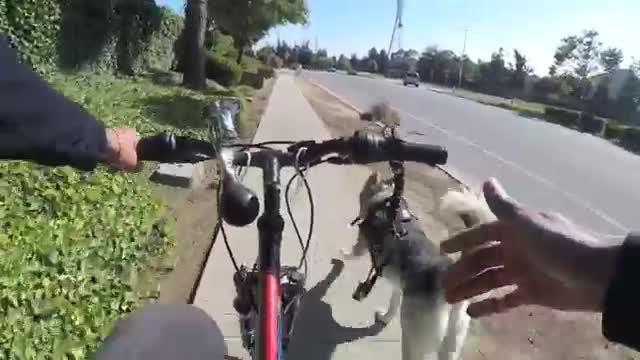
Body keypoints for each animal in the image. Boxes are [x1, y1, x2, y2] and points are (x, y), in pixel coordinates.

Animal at [340, 172, 496, 360]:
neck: (387, 201)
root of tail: (447, 272)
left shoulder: (362, 243)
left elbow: (352, 253)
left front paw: (341, 256)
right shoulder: (399, 286)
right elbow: (393, 303)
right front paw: (385, 317)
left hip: (413, 335)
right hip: (453, 336)